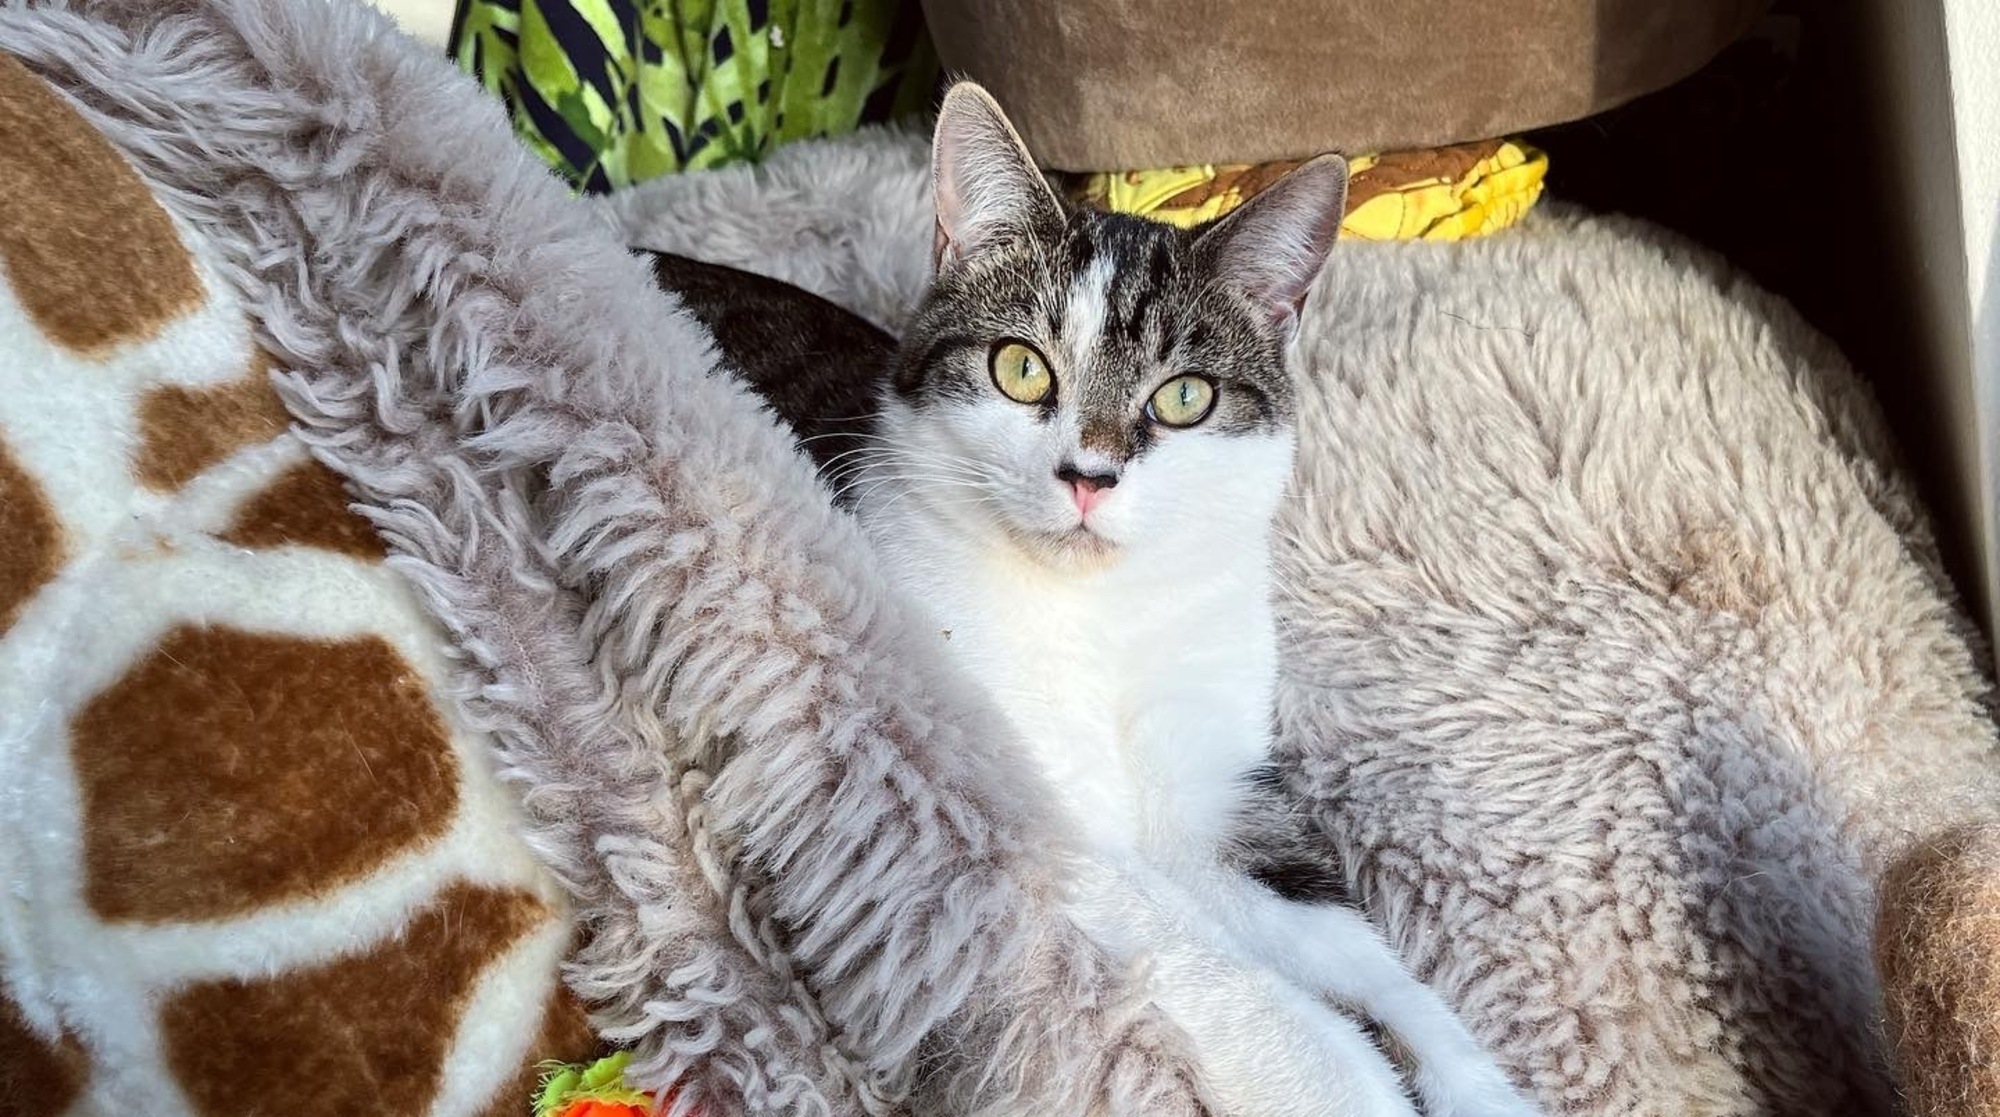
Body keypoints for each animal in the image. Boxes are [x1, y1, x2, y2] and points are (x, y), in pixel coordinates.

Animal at [648, 85, 1536, 1117]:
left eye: (1185, 396)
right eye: (1021, 367)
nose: (1089, 474)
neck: (1104, 613)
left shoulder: (1217, 792)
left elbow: (1363, 956)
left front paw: (1474, 1081)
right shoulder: (1003, 804)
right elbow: (1217, 966)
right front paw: (1351, 1080)